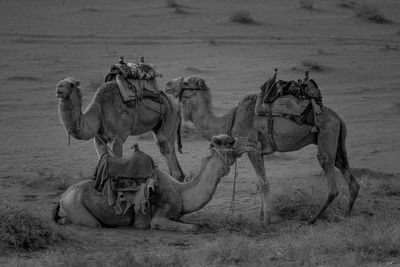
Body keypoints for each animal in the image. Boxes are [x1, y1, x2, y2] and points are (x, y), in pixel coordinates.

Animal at [53, 135, 253, 231]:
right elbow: (194, 228)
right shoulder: (158, 218)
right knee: (85, 223)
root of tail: (62, 197)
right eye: (230, 142)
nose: (250, 143)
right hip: (76, 206)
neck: (181, 192)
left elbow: (199, 224)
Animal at [55, 77, 185, 182]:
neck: (99, 111)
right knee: (166, 147)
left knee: (166, 146)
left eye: (71, 84)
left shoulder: (117, 138)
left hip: (170, 116)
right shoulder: (99, 139)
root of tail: (176, 106)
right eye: (60, 82)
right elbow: (103, 160)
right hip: (159, 125)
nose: (59, 88)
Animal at [164, 76, 360, 225]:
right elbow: (260, 183)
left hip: (327, 131)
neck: (228, 120)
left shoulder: (252, 147)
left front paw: (266, 219)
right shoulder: (261, 151)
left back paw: (312, 219)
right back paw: (347, 215)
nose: (167, 84)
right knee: (346, 171)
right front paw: (260, 215)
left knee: (327, 168)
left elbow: (264, 184)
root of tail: (338, 117)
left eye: (185, 81)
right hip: (336, 137)